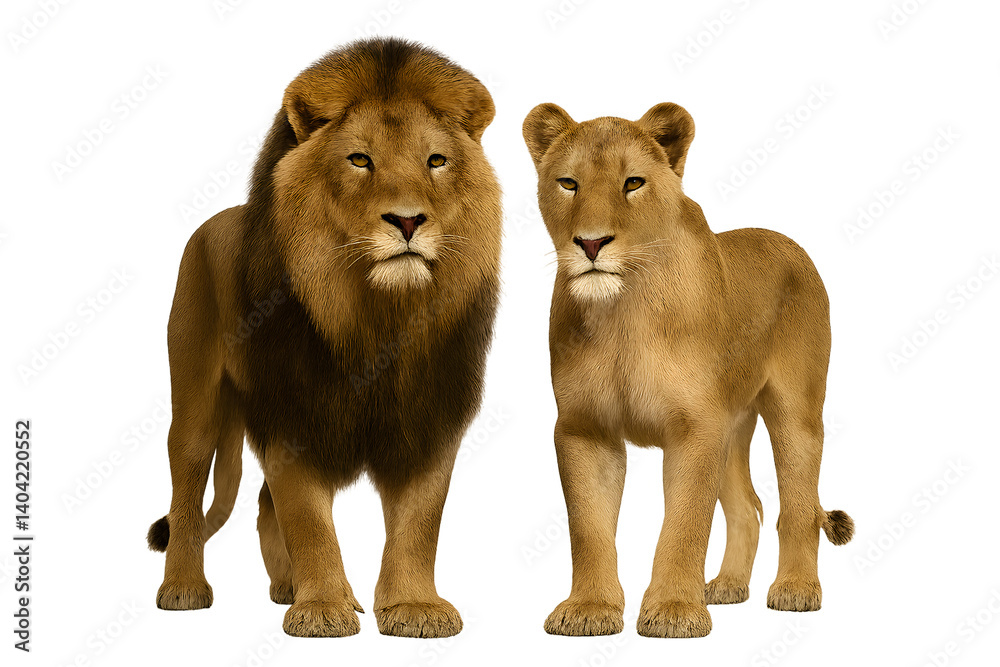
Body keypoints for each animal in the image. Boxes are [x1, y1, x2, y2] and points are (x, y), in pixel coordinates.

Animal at [146, 38, 501, 639]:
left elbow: (419, 522)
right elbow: (308, 519)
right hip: (194, 397)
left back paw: (285, 587)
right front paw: (323, 609)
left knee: (262, 505)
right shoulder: (293, 412)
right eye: (360, 159)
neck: (377, 317)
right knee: (187, 491)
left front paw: (412, 608)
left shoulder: (430, 416)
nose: (408, 221)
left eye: (436, 161)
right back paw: (183, 590)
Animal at [523, 102, 854, 638]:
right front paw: (589, 609)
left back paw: (796, 590)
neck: (624, 311)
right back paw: (726, 587)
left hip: (795, 411)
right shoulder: (584, 428)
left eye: (633, 183)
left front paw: (675, 610)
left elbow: (684, 523)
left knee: (798, 505)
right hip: (732, 423)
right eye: (568, 183)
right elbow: (588, 527)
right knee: (749, 508)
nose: (590, 244)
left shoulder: (696, 426)